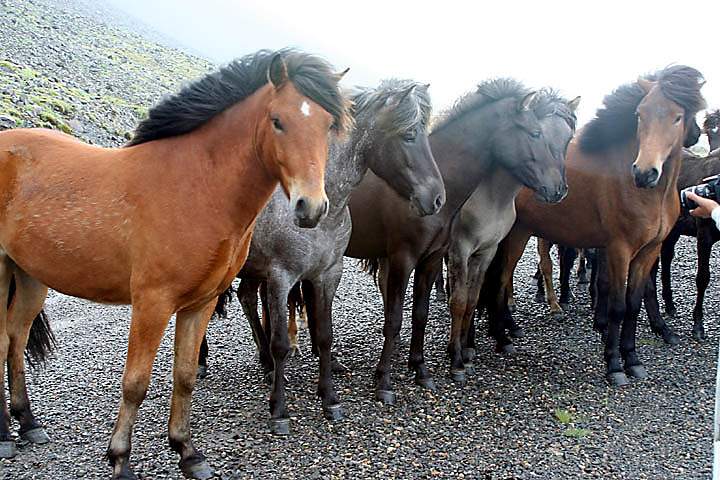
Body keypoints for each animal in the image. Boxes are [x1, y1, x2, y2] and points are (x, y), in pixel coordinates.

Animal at [0, 49, 352, 480]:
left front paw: (187, 452)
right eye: (277, 120)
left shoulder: (199, 304)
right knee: (3, 341)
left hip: (31, 276)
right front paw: (120, 460)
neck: (195, 188)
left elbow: (184, 377)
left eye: (328, 124)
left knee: (15, 340)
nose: (311, 207)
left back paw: (28, 423)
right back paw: (5, 435)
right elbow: (136, 382)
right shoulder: (152, 304)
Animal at [484, 64, 704, 386]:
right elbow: (617, 306)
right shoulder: (619, 249)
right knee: (499, 281)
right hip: (512, 236)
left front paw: (633, 360)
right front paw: (614, 365)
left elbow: (633, 304)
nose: (644, 173)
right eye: (640, 113)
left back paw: (502, 331)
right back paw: (501, 337)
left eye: (678, 116)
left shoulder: (649, 251)